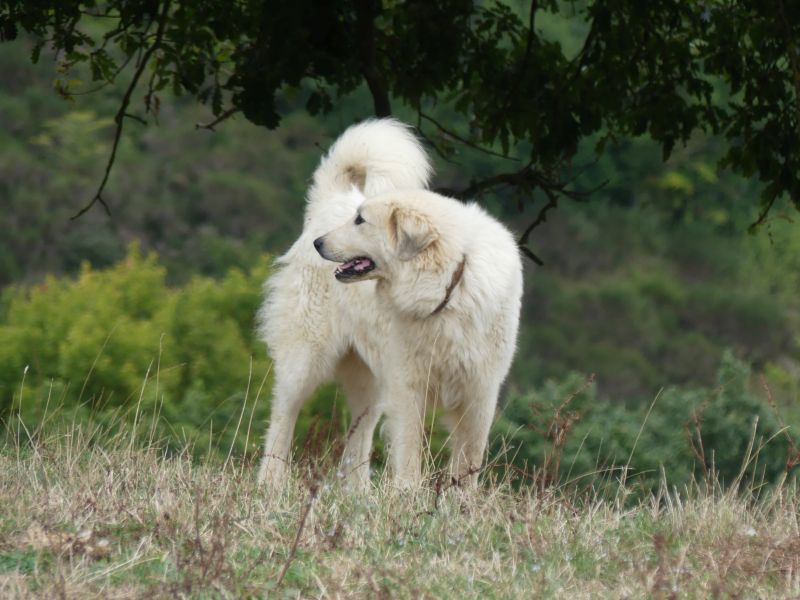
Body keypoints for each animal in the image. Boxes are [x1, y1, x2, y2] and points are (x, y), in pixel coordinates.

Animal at [258, 119, 524, 490]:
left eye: (360, 221)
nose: (319, 244)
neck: (451, 287)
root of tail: (331, 200)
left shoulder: (480, 394)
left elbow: (468, 462)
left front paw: (461, 501)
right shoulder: (408, 387)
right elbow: (410, 455)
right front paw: (408, 497)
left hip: (371, 381)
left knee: (359, 436)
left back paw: (358, 494)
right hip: (307, 359)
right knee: (284, 415)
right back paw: (271, 482)